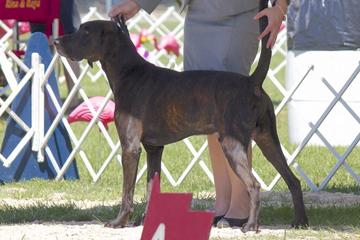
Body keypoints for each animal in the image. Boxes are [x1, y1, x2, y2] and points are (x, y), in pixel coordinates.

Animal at [54, 0, 308, 232]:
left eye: (85, 31)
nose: (56, 41)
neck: (128, 71)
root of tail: (252, 81)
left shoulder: (130, 147)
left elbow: (128, 191)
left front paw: (119, 222)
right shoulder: (153, 149)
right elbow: (150, 188)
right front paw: (146, 221)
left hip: (233, 142)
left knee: (254, 185)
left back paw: (251, 225)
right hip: (268, 140)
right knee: (293, 180)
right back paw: (300, 222)